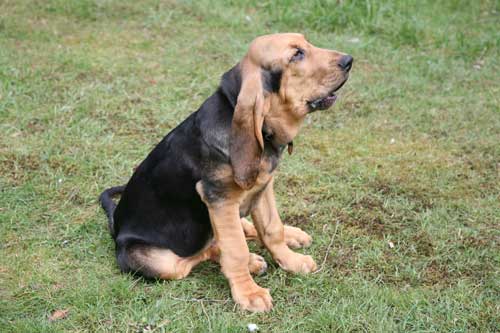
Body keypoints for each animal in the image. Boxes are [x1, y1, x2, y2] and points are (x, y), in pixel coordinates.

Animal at [99, 33, 352, 312]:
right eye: (296, 54)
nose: (349, 60)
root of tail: (115, 223)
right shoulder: (220, 199)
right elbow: (235, 251)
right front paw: (249, 292)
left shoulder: (263, 187)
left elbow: (272, 229)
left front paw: (292, 261)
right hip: (156, 260)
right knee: (195, 256)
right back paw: (252, 260)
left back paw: (291, 235)